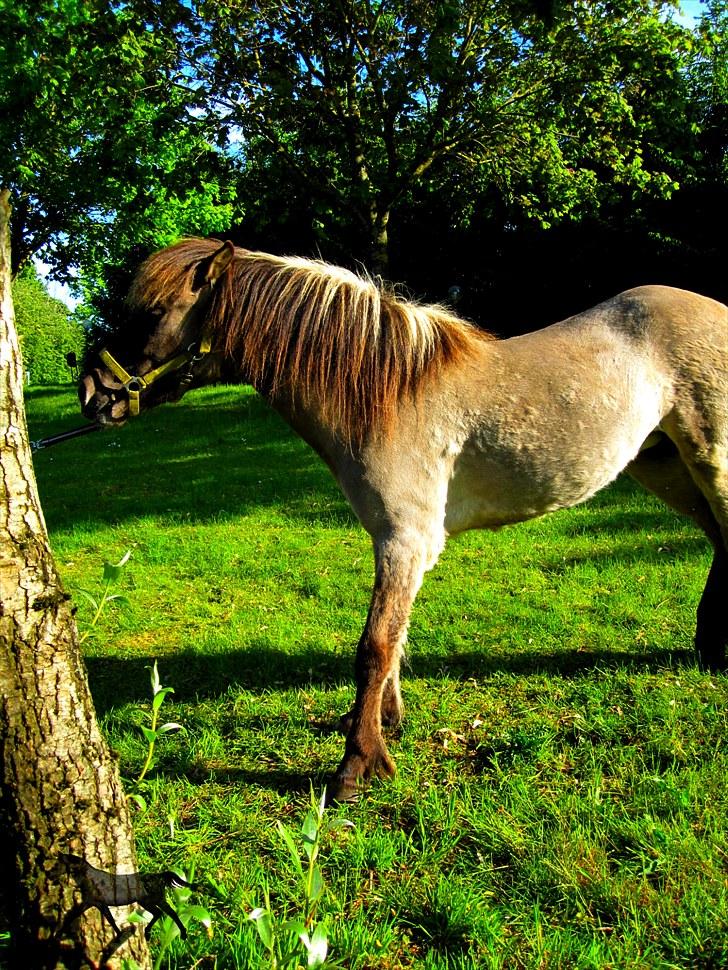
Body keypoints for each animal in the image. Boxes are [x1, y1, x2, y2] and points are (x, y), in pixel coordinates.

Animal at [79, 238, 728, 796]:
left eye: (156, 311)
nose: (92, 391)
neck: (385, 392)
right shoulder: (396, 542)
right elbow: (395, 639)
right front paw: (382, 723)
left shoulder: (405, 540)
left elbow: (374, 645)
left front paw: (356, 766)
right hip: (663, 466)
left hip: (708, 460)